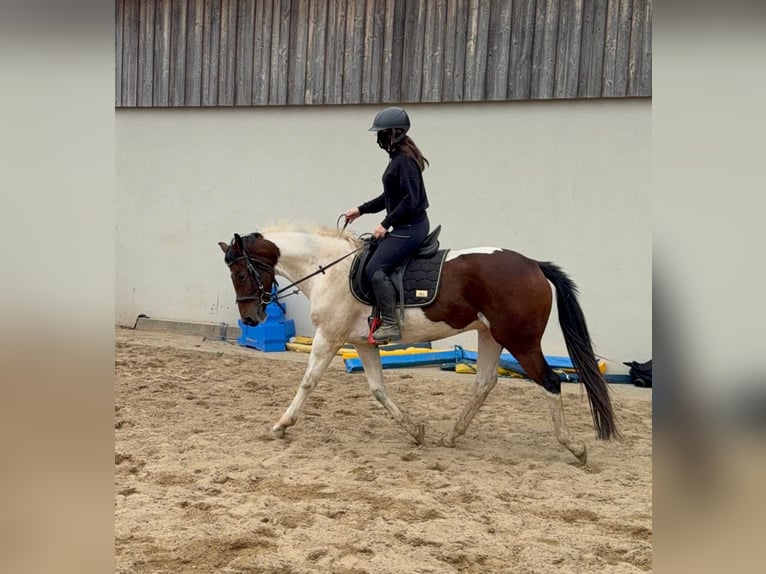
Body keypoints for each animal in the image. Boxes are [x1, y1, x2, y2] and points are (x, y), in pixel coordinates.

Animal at [218, 223, 619, 463]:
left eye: (240, 274)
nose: (251, 319)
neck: (329, 269)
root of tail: (534, 265)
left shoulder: (329, 337)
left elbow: (308, 381)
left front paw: (281, 425)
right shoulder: (362, 343)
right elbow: (378, 389)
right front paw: (416, 430)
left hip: (520, 341)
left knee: (551, 381)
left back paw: (575, 447)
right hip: (490, 335)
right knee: (484, 383)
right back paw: (452, 435)